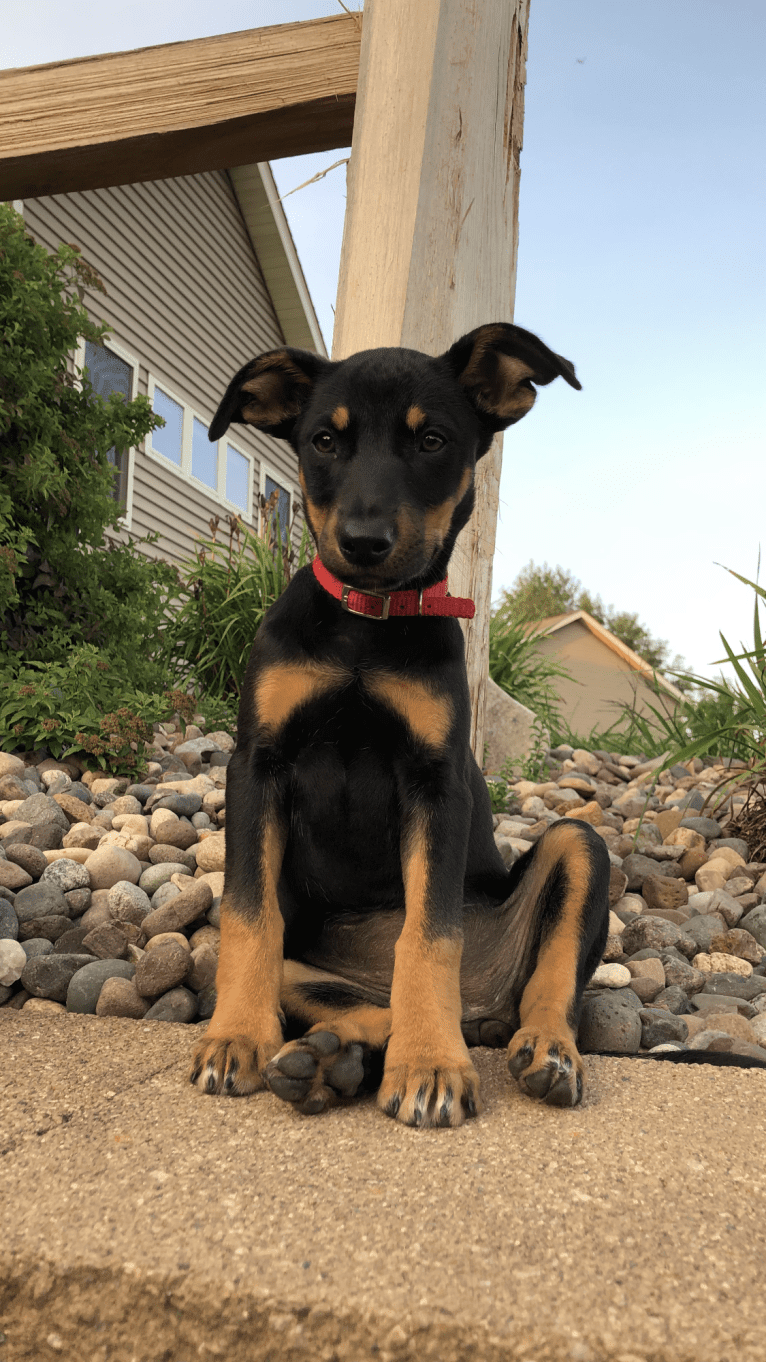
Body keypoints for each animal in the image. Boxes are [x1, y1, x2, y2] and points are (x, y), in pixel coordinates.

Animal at [188, 321, 610, 1127]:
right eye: (324, 440)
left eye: (432, 440)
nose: (363, 543)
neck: (367, 627)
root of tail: (480, 1014)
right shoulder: (257, 765)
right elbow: (250, 917)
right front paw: (235, 1039)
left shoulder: (434, 781)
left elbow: (428, 934)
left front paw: (430, 1064)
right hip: (291, 963)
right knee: (350, 1000)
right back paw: (330, 1062)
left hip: (579, 847)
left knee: (544, 986)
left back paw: (542, 1053)